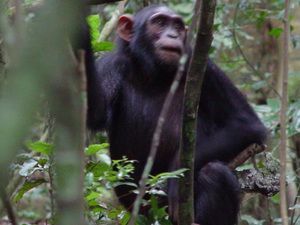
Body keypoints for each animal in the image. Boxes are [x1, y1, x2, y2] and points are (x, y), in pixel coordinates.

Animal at [84, 4, 268, 225]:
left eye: (178, 26)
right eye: (160, 22)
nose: (173, 34)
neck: (154, 74)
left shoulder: (204, 67)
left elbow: (245, 123)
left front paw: (174, 174)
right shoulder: (112, 64)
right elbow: (93, 112)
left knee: (215, 173)